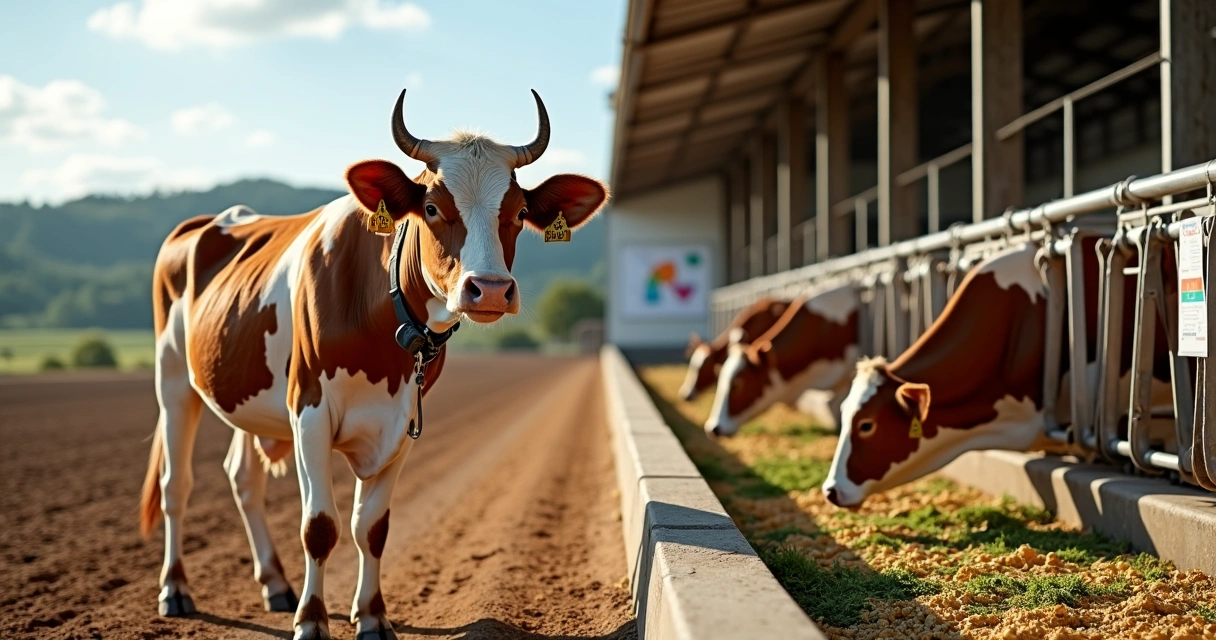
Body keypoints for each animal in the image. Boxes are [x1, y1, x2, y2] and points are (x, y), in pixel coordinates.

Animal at [139, 89, 607, 640]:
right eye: (431, 207)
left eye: (517, 213)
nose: (490, 289)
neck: (381, 319)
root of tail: (212, 220)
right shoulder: (310, 412)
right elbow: (319, 527)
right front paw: (312, 620)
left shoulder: (403, 420)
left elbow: (373, 528)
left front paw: (372, 615)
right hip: (173, 381)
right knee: (176, 484)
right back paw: (175, 589)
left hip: (246, 396)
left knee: (242, 479)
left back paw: (275, 583)